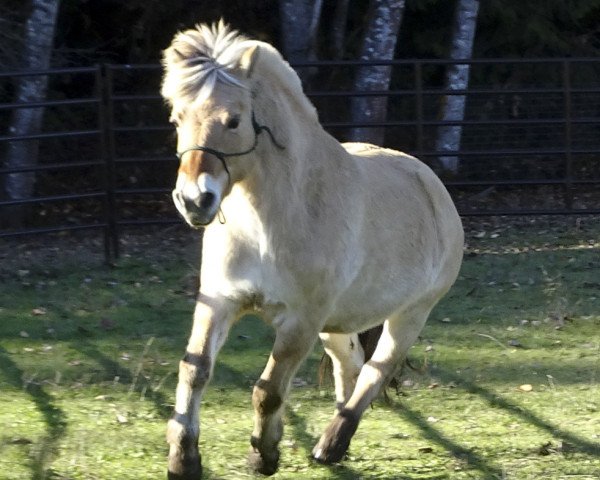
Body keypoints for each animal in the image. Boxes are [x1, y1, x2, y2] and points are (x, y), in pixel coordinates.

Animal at [161, 20, 464, 478]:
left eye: (233, 120)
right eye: (177, 118)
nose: (194, 200)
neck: (269, 223)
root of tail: (431, 183)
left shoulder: (300, 321)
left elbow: (268, 389)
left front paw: (264, 454)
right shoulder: (219, 301)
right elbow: (194, 371)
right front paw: (184, 460)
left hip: (409, 316)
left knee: (375, 372)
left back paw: (330, 445)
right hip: (337, 324)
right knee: (351, 366)